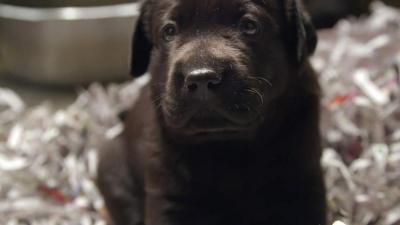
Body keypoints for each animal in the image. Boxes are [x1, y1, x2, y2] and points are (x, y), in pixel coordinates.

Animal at [97, 0, 324, 225]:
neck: (223, 143)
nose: (201, 78)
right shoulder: (167, 195)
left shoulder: (303, 186)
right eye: (169, 31)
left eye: (250, 26)